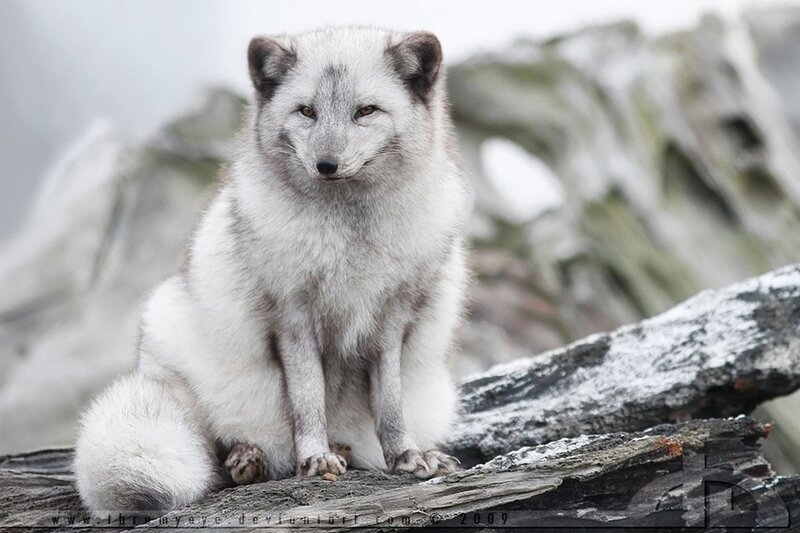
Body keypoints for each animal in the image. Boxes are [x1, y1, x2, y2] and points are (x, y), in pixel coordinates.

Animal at [74, 26, 473, 514]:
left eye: (365, 111)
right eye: (306, 111)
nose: (326, 165)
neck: (349, 233)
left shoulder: (392, 315)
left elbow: (390, 403)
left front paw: (406, 456)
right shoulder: (292, 314)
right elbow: (308, 398)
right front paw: (315, 459)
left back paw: (344, 449)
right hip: (175, 338)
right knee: (213, 448)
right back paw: (249, 459)